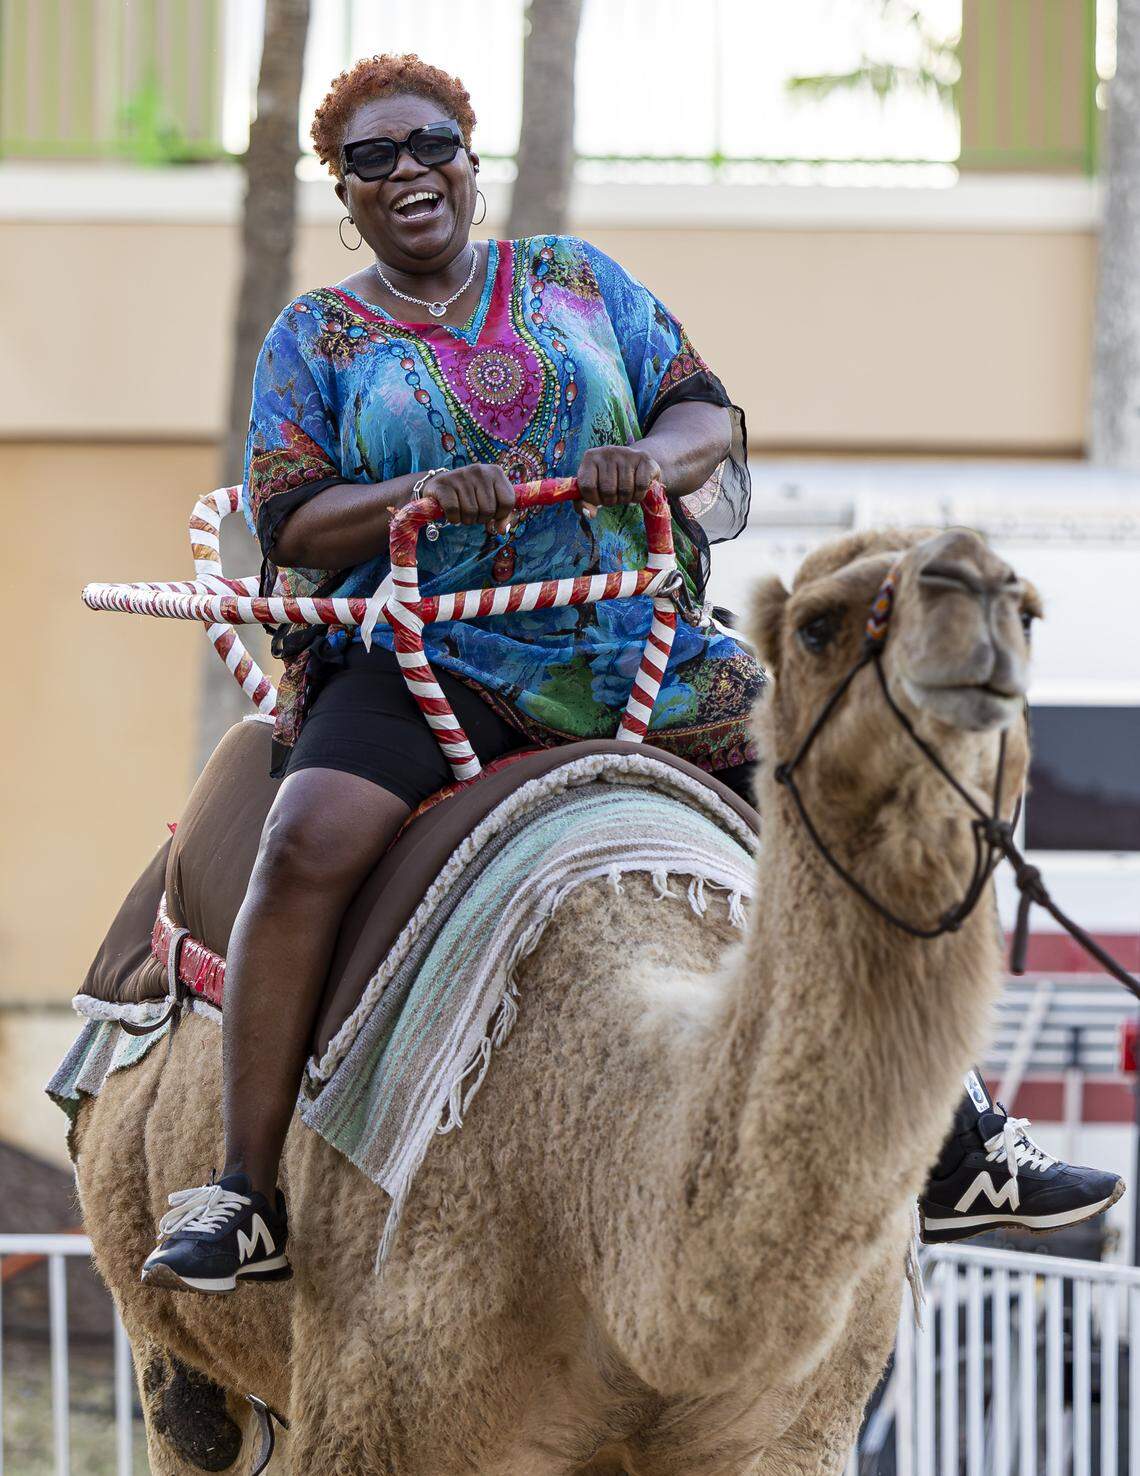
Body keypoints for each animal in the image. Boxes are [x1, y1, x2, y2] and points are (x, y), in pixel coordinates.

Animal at [69, 525, 1037, 1475]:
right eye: (819, 625)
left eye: (1028, 610)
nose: (978, 591)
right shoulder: (373, 1413)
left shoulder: (791, 1437)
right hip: (166, 1333)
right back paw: (218, 1229)